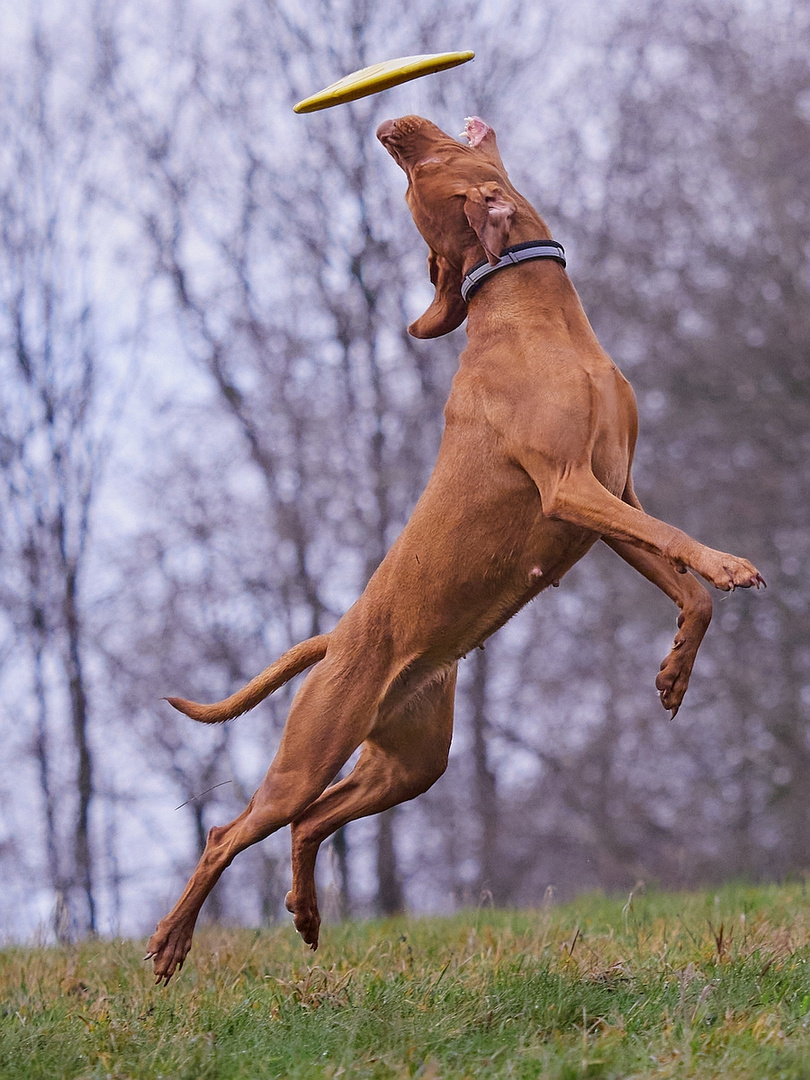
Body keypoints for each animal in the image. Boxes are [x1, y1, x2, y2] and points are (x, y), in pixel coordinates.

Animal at [147, 113, 768, 984]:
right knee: (230, 831)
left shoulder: (615, 497)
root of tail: (337, 638)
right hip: (313, 750)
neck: (538, 318)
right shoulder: (571, 488)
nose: (389, 125)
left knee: (311, 822)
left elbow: (689, 591)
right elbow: (686, 548)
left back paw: (305, 912)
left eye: (424, 164)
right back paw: (173, 942)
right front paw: (729, 564)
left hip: (408, 763)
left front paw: (676, 672)